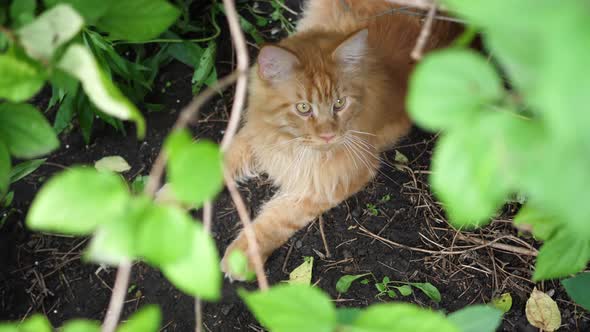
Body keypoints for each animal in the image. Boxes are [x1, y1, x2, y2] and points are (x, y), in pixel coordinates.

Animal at [222, 0, 462, 278]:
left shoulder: (333, 180)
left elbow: (276, 219)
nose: (328, 135)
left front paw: (241, 256)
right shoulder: (257, 135)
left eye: (339, 103)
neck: (291, 145)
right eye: (303, 108)